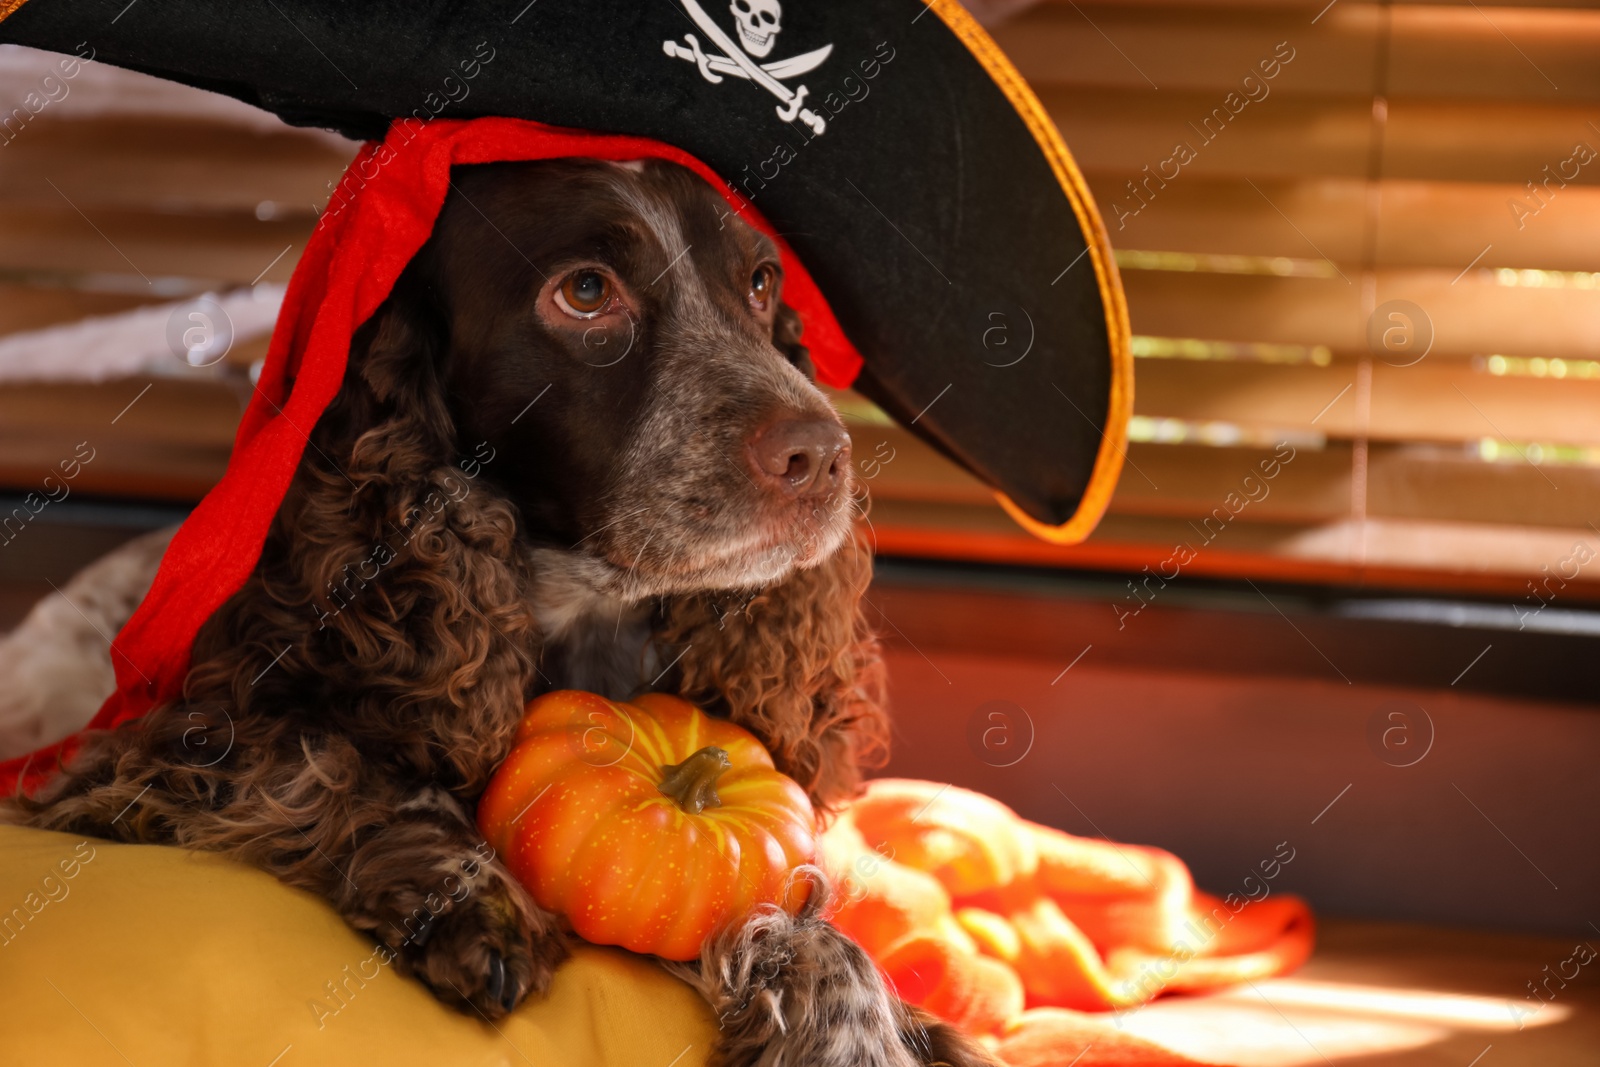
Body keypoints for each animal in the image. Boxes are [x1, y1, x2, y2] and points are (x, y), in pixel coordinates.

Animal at [6, 158, 992, 1067]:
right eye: (586, 291)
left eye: (758, 283)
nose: (822, 455)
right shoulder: (131, 763)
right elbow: (332, 755)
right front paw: (465, 894)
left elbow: (820, 928)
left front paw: (852, 1029)